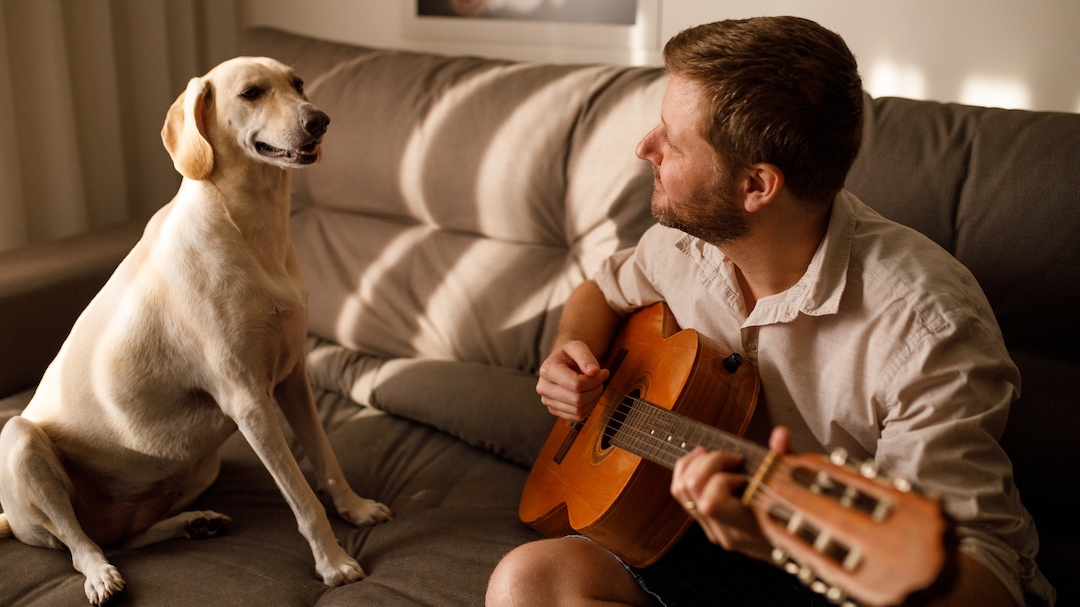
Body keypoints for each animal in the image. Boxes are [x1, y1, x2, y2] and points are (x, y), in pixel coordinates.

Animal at [0, 55, 395, 600]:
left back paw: (192, 523)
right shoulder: (250, 402)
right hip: (17, 439)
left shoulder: (293, 379)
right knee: (80, 545)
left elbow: (326, 458)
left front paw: (355, 509)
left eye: (298, 84)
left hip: (202, 463)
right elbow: (301, 496)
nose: (320, 120)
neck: (252, 229)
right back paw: (101, 575)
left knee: (122, 537)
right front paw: (333, 563)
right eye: (251, 93)